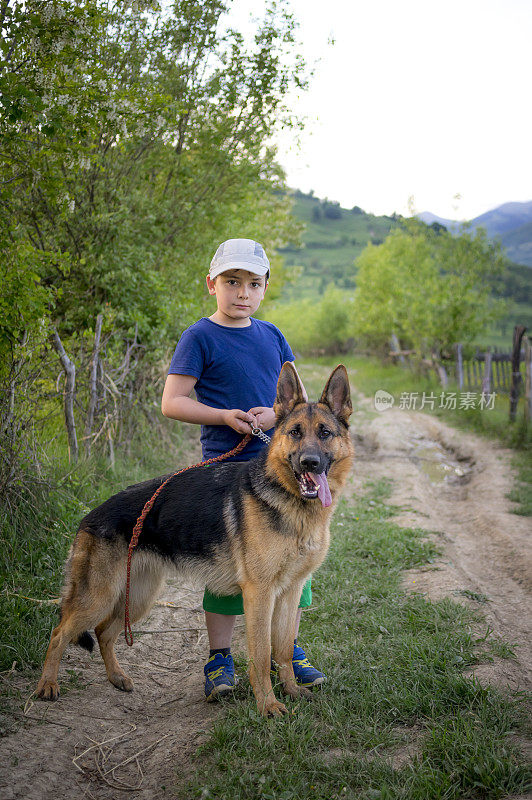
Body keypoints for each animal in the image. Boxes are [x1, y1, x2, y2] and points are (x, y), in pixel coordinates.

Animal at [36, 362, 354, 720]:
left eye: (324, 433)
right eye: (296, 433)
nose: (309, 463)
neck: (289, 500)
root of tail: (90, 515)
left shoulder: (291, 591)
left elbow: (283, 649)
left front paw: (292, 690)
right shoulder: (259, 594)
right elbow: (261, 656)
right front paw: (268, 705)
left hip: (139, 597)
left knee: (104, 632)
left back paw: (117, 677)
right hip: (99, 597)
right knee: (59, 632)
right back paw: (47, 685)